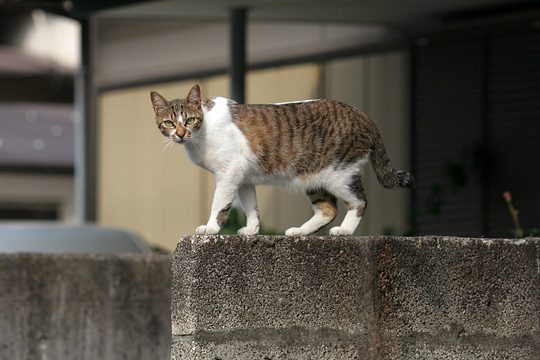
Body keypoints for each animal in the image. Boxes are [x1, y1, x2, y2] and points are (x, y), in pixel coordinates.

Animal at [149, 84, 414, 236]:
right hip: (314, 177)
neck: (202, 132)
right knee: (327, 209)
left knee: (359, 201)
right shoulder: (243, 177)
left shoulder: (228, 173)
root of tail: (362, 115)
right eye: (169, 123)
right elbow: (251, 205)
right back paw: (300, 231)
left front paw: (211, 228)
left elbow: (220, 204)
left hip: (340, 174)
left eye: (190, 120)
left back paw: (345, 231)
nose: (180, 134)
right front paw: (252, 229)